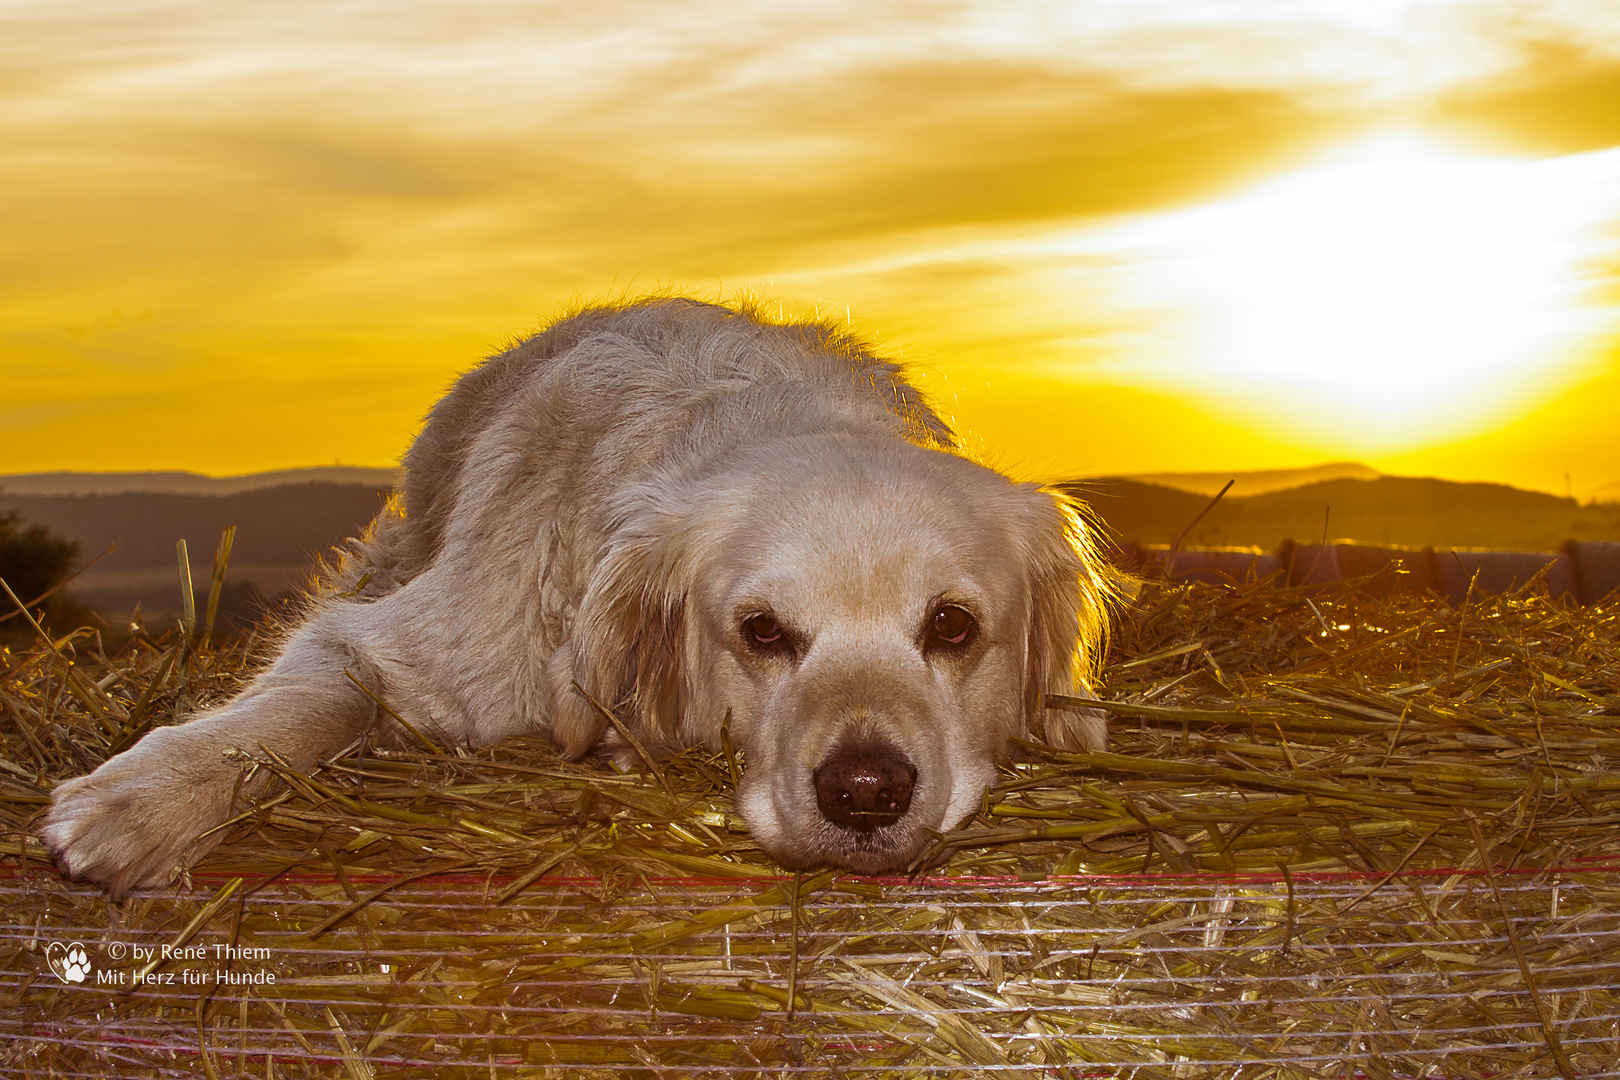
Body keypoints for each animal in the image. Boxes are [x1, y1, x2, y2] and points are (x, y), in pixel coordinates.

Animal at [44, 297, 1121, 893]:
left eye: (952, 626)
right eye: (761, 632)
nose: (865, 793)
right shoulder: (413, 644)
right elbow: (298, 706)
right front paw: (142, 801)